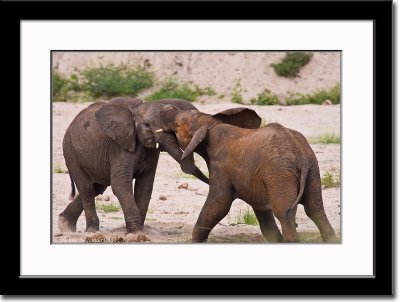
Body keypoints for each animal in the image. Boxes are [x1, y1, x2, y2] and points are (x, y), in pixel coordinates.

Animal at [59, 96, 209, 236]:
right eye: (147, 124)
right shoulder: (119, 146)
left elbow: (145, 186)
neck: (138, 108)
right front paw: (136, 233)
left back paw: (65, 225)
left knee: (97, 188)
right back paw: (90, 231)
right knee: (87, 189)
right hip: (71, 153)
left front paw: (140, 231)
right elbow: (120, 184)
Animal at [133, 103, 336, 243]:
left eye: (177, 124)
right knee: (316, 210)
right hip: (311, 172)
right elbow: (261, 209)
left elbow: (219, 203)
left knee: (285, 214)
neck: (210, 124)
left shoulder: (221, 166)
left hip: (281, 174)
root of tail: (300, 156)